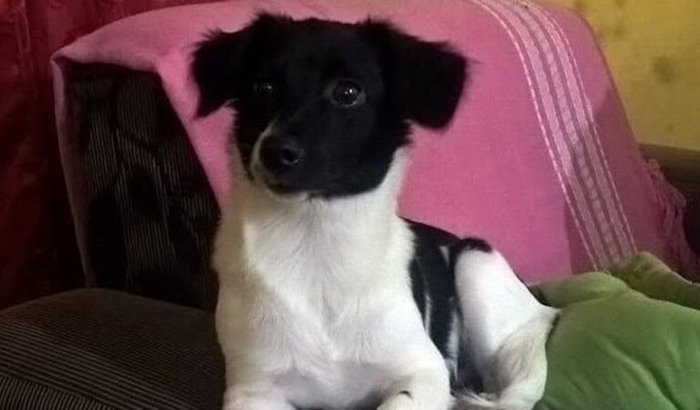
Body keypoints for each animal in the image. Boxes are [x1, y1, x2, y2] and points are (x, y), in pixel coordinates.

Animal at [192, 14, 558, 410]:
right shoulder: (252, 390)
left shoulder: (424, 370)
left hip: (477, 266)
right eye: (264, 86)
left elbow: (398, 400)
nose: (274, 152)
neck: (315, 242)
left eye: (348, 93)